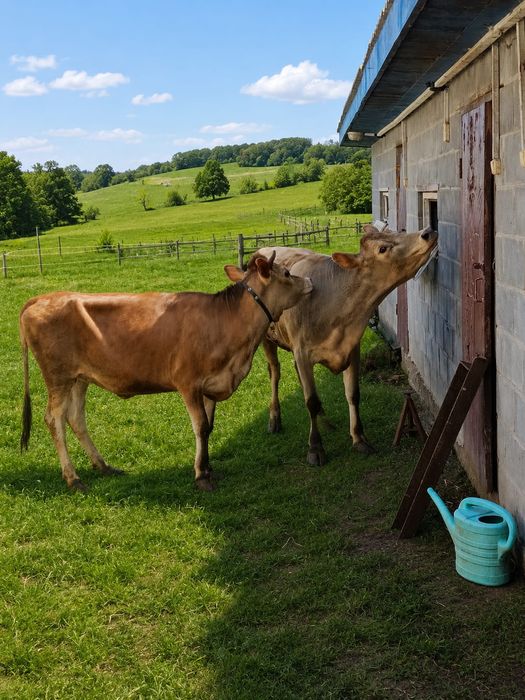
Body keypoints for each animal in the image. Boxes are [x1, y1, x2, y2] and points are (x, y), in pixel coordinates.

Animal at [19, 252, 312, 493]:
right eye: (287, 273)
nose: (309, 280)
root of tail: (41, 298)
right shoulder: (188, 383)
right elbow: (200, 426)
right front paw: (201, 476)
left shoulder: (211, 384)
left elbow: (209, 427)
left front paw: (209, 468)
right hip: (57, 377)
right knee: (54, 419)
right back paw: (73, 478)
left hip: (80, 378)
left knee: (76, 418)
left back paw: (103, 466)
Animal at [257, 224, 438, 466]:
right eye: (382, 248)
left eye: (398, 231)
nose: (427, 232)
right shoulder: (303, 352)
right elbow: (311, 401)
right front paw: (315, 448)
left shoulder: (352, 349)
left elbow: (352, 393)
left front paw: (359, 438)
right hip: (267, 339)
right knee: (275, 373)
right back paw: (275, 418)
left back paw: (325, 421)